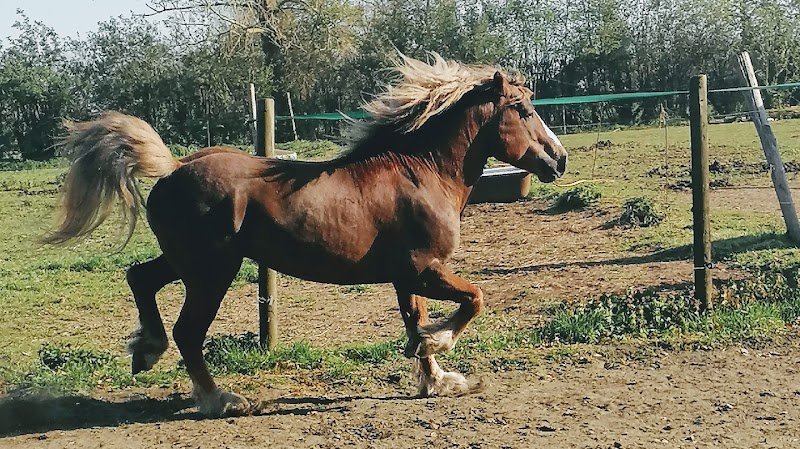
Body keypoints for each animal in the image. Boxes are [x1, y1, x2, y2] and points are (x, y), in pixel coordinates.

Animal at [41, 54, 567, 417]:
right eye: (522, 109)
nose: (558, 160)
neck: (422, 172)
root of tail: (173, 168)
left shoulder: (407, 277)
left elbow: (415, 319)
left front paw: (438, 377)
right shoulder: (424, 268)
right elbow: (474, 299)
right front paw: (437, 348)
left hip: (185, 263)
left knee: (140, 278)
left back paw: (146, 351)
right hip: (213, 272)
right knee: (188, 330)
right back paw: (220, 399)